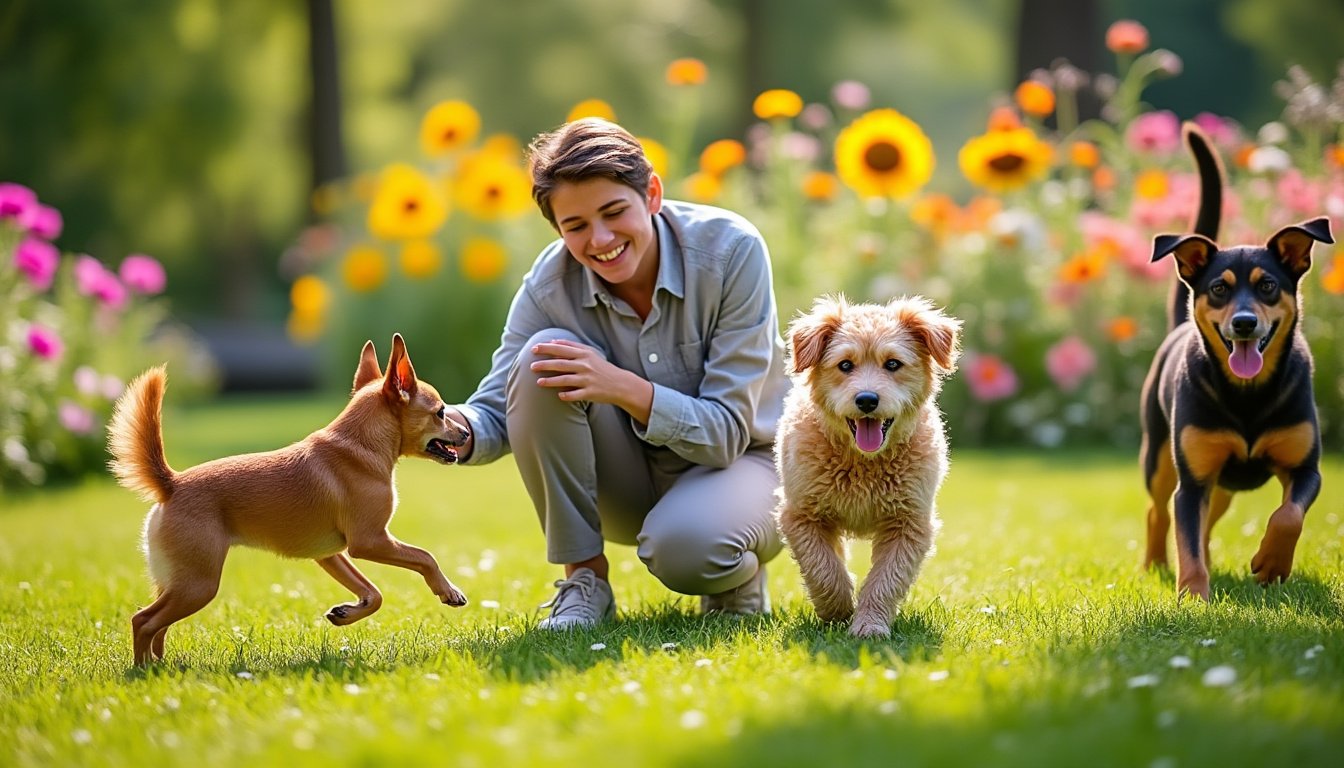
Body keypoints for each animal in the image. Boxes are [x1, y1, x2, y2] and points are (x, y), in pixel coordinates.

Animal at [107, 336, 470, 667]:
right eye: (440, 413)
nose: (466, 433)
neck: (359, 446)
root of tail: (172, 484)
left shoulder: (331, 554)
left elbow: (374, 594)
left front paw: (346, 613)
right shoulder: (370, 541)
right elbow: (424, 557)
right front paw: (447, 590)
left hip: (177, 581)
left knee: (158, 624)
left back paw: (159, 666)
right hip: (198, 585)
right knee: (144, 621)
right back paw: (142, 671)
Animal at [774, 294, 962, 637]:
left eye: (893, 364)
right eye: (845, 365)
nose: (866, 400)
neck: (863, 462)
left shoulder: (910, 522)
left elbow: (886, 579)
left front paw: (870, 625)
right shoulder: (801, 515)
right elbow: (823, 568)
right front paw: (837, 609)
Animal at [1145, 124, 1333, 599]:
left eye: (1267, 285)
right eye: (1218, 289)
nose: (1244, 323)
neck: (1247, 393)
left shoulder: (1305, 467)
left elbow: (1289, 515)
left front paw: (1271, 563)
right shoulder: (1192, 479)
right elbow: (1186, 535)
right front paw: (1194, 595)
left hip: (1223, 482)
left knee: (1210, 518)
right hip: (1158, 456)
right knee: (1160, 511)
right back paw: (1155, 563)